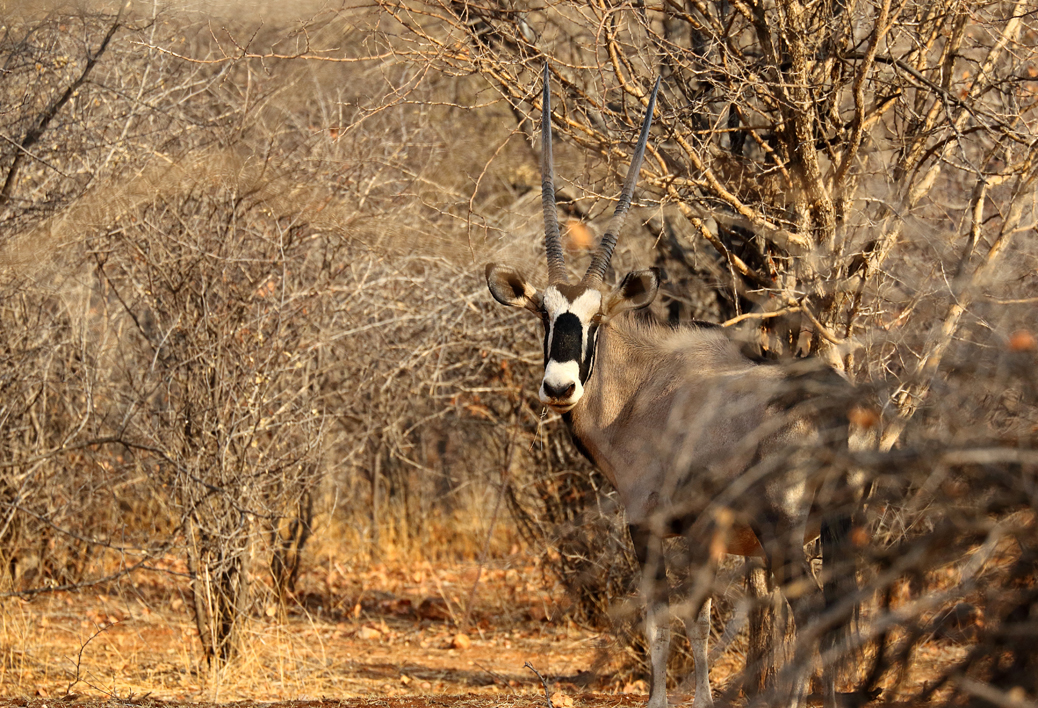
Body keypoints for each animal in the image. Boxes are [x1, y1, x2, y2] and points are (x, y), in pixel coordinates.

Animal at [485, 63, 859, 701]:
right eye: (543, 316)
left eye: (597, 321)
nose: (559, 389)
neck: (641, 392)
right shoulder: (704, 537)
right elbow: (699, 621)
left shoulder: (651, 525)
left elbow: (665, 620)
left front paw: (662, 697)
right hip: (843, 525)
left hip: (786, 530)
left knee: (812, 612)